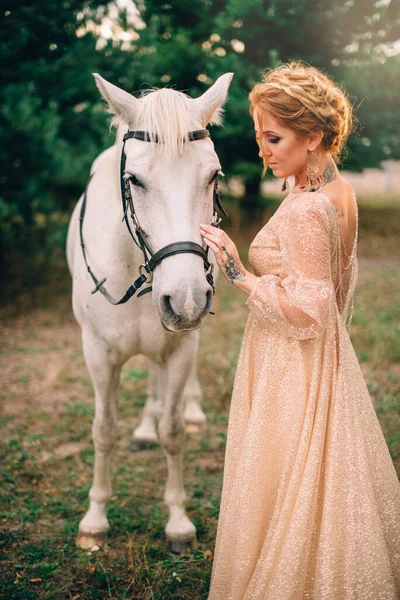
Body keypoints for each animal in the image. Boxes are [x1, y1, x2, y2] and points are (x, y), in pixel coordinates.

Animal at [66, 72, 233, 552]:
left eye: (213, 175)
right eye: (134, 180)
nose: (187, 298)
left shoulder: (180, 346)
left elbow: (173, 433)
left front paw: (178, 522)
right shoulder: (98, 353)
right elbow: (104, 430)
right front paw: (95, 519)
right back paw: (143, 428)